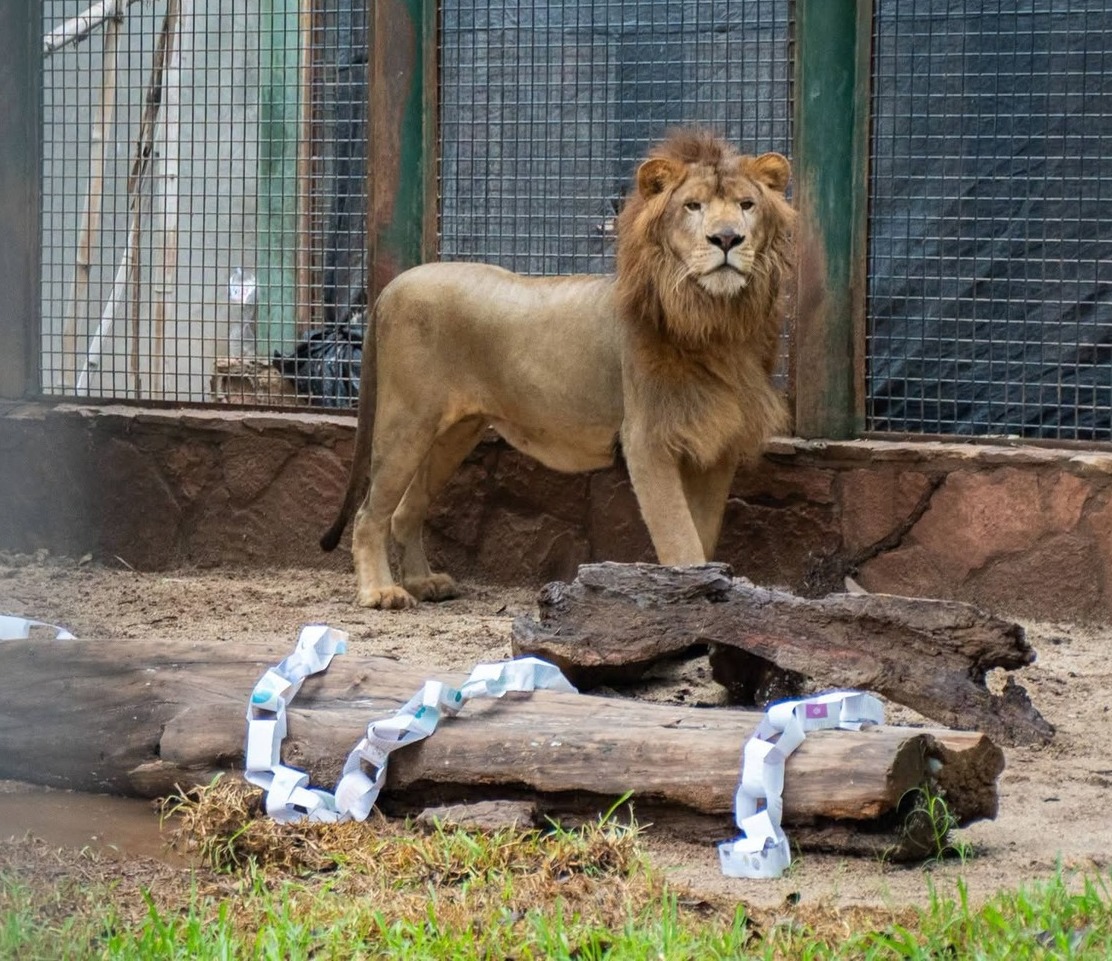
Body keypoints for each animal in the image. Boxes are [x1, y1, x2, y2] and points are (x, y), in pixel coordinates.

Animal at [321, 129, 795, 608]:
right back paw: (381, 591)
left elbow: (703, 535)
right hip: (407, 422)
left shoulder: (716, 444)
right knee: (370, 514)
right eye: (693, 206)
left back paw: (423, 582)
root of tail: (390, 288)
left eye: (746, 205)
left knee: (406, 510)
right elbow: (680, 540)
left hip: (456, 433)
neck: (716, 320)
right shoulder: (647, 439)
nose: (727, 238)